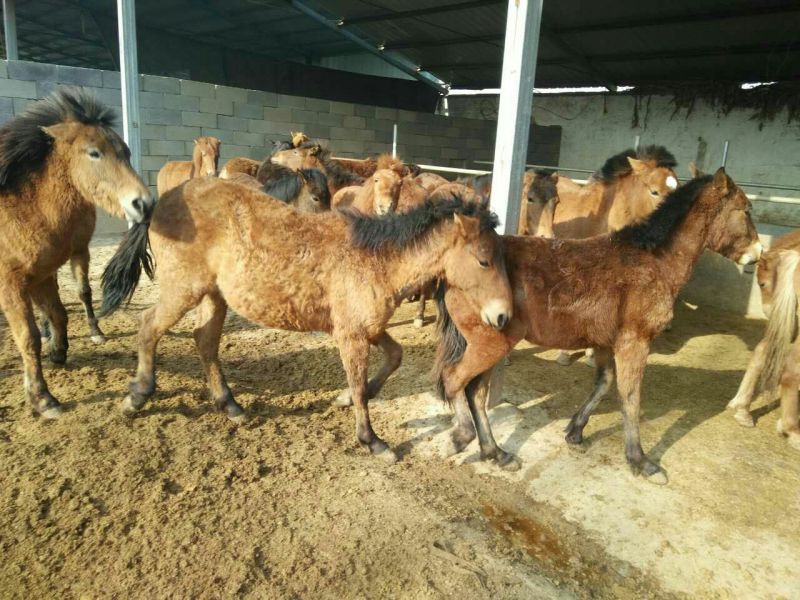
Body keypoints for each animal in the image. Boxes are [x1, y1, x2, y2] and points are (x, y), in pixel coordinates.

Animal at [0, 88, 153, 418]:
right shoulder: (11, 283)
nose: (143, 203)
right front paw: (43, 399)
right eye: (94, 153)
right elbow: (28, 336)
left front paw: (57, 352)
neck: (19, 208)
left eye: (126, 153)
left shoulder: (42, 275)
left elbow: (58, 314)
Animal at [100, 184, 512, 463]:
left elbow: (392, 358)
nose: (502, 315)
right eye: (484, 260)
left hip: (214, 296)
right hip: (183, 289)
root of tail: (161, 202)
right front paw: (373, 441)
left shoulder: (366, 328)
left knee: (205, 341)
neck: (374, 260)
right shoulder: (351, 335)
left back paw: (229, 404)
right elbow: (360, 384)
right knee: (149, 327)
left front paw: (347, 399)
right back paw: (138, 395)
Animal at [434, 169, 762, 482]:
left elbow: (604, 383)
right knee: (454, 379)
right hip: (490, 344)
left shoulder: (605, 342)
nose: (757, 255)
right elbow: (630, 398)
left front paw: (575, 431)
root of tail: (451, 273)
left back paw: (497, 454)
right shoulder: (635, 342)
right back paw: (461, 438)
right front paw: (641, 461)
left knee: (475, 391)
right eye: (745, 209)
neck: (652, 261)